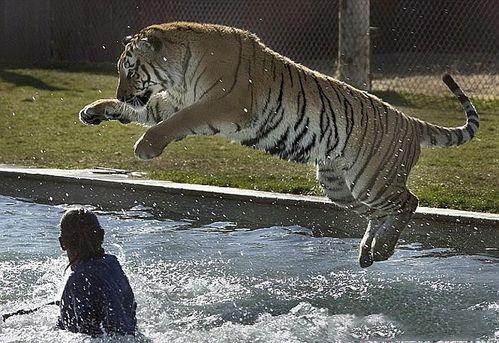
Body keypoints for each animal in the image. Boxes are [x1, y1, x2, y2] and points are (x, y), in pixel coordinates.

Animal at [81, 22, 480, 268]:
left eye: (130, 69)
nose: (122, 92)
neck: (180, 70)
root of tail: (411, 122)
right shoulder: (174, 101)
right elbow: (147, 111)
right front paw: (93, 111)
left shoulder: (217, 104)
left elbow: (170, 124)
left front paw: (145, 146)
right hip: (341, 186)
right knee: (380, 213)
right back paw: (369, 253)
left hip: (373, 179)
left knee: (408, 202)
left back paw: (380, 250)